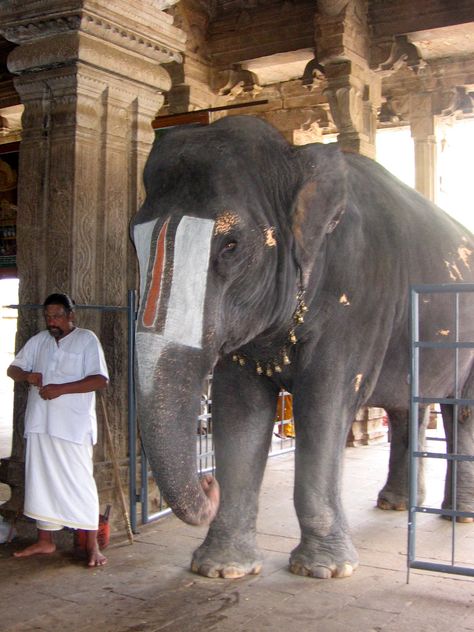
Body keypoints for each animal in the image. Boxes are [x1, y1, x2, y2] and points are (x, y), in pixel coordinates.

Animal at [131, 116, 474, 580]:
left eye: (231, 246)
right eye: (133, 241)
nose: (208, 482)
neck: (292, 158)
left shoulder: (358, 300)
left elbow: (324, 403)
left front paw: (324, 571)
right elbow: (237, 408)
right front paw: (221, 569)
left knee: (461, 411)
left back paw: (458, 515)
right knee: (410, 408)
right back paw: (397, 503)